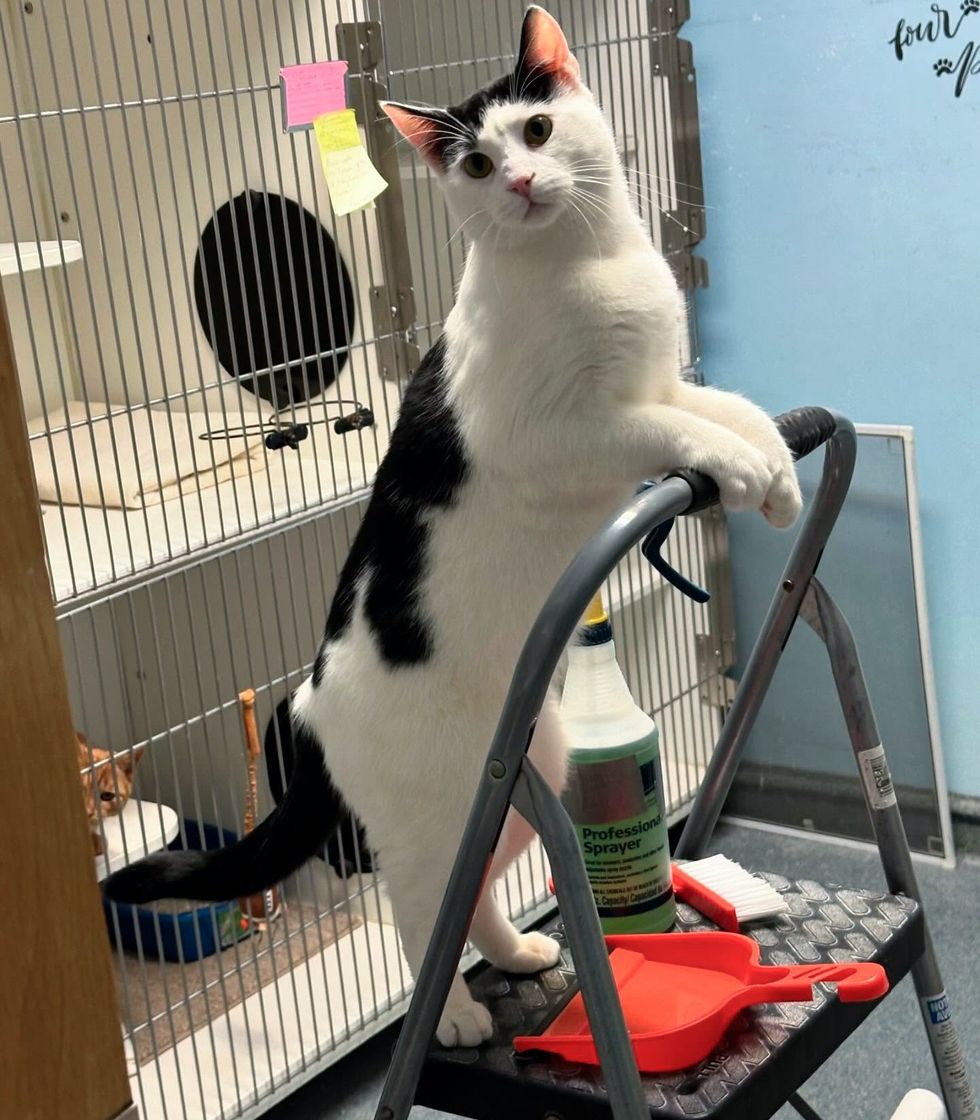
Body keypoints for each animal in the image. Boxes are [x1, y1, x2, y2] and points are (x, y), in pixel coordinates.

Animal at [105, 4, 806, 1043]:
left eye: (539, 130)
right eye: (474, 164)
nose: (516, 180)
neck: (588, 265)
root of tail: (306, 703)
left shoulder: (662, 382)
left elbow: (730, 409)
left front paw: (779, 473)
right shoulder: (568, 435)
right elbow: (678, 431)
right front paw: (750, 470)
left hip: (520, 779)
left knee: (468, 893)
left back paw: (516, 953)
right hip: (431, 819)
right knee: (417, 908)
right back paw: (458, 1018)